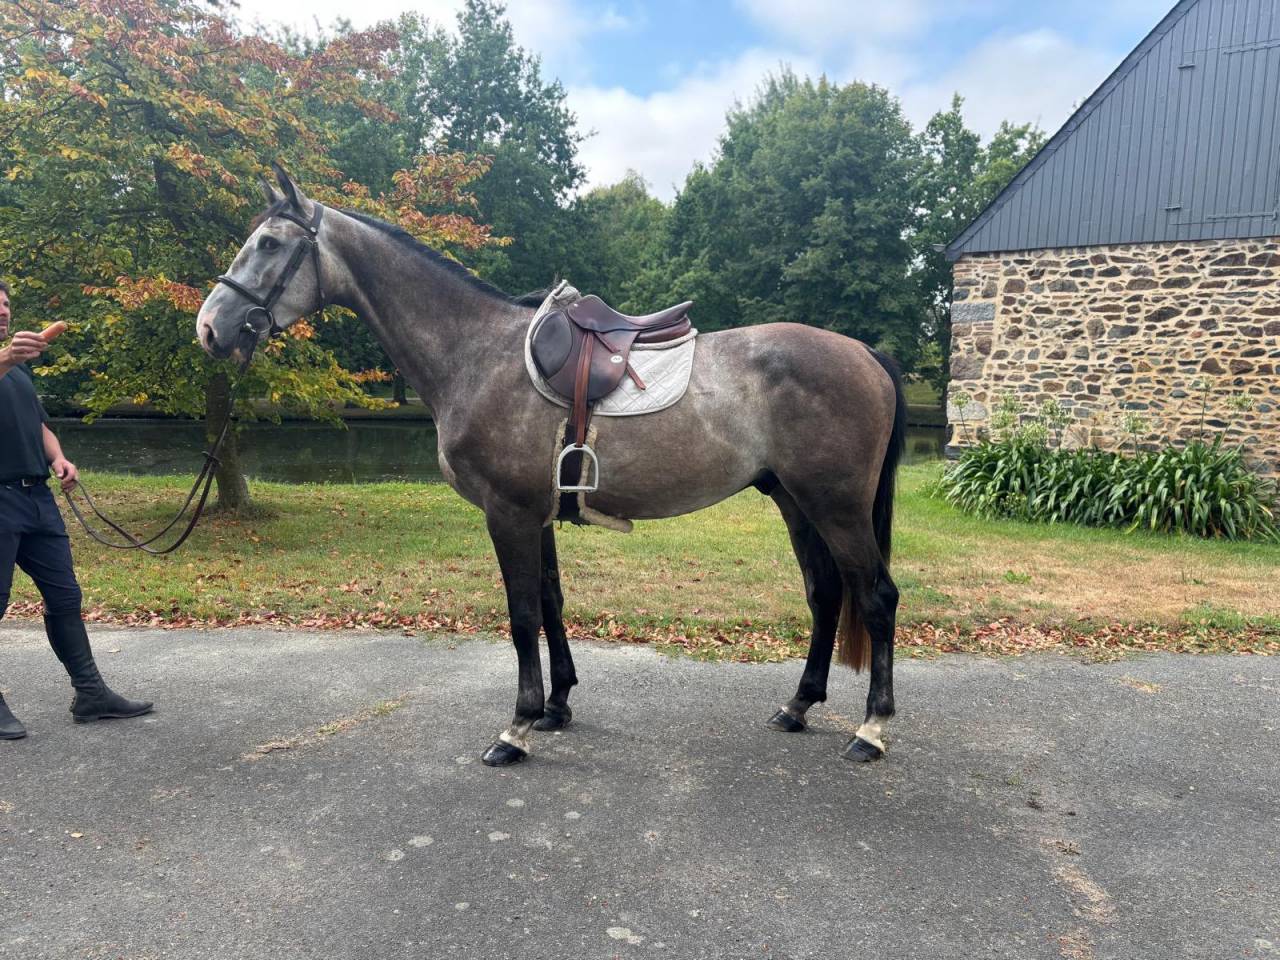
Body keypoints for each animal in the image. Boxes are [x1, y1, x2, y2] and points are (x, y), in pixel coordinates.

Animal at [196, 166, 906, 767]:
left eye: (268, 244)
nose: (209, 328)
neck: (477, 353)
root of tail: (866, 354)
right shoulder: (534, 514)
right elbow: (551, 600)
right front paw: (557, 705)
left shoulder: (507, 514)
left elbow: (521, 615)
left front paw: (516, 727)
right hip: (795, 501)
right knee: (825, 595)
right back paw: (798, 706)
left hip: (835, 507)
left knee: (876, 596)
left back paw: (871, 729)